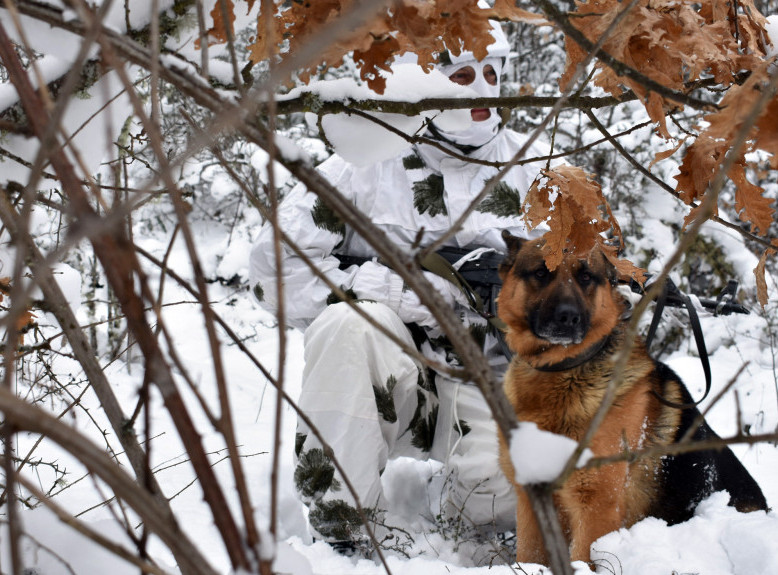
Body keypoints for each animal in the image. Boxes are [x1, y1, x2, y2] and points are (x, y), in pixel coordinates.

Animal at [498, 232, 764, 564]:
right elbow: (529, 556)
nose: (568, 317)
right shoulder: (531, 501)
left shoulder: (596, 510)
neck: (563, 371)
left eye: (586, 277)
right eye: (541, 273)